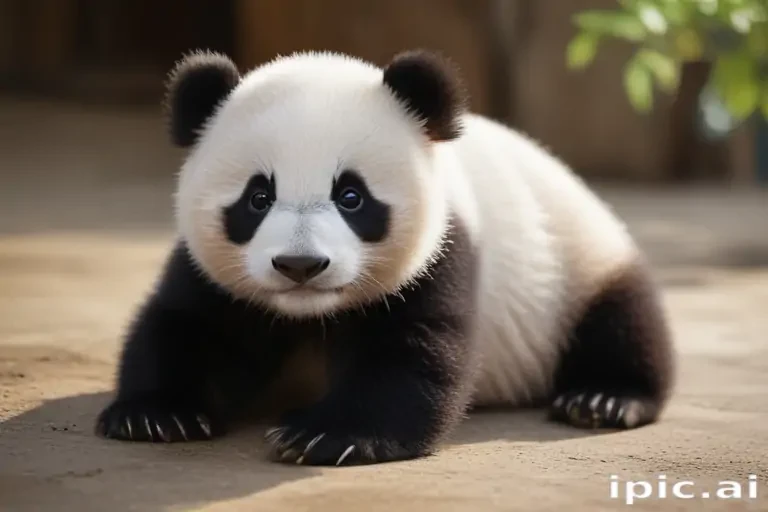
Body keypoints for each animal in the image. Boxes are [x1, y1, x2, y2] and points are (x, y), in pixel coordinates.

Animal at [95, 48, 676, 466]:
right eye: (257, 197)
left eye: (352, 196)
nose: (300, 266)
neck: (310, 316)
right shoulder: (212, 273)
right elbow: (186, 324)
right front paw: (155, 415)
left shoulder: (443, 249)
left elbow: (412, 350)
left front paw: (326, 436)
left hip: (578, 260)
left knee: (621, 319)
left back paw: (602, 399)